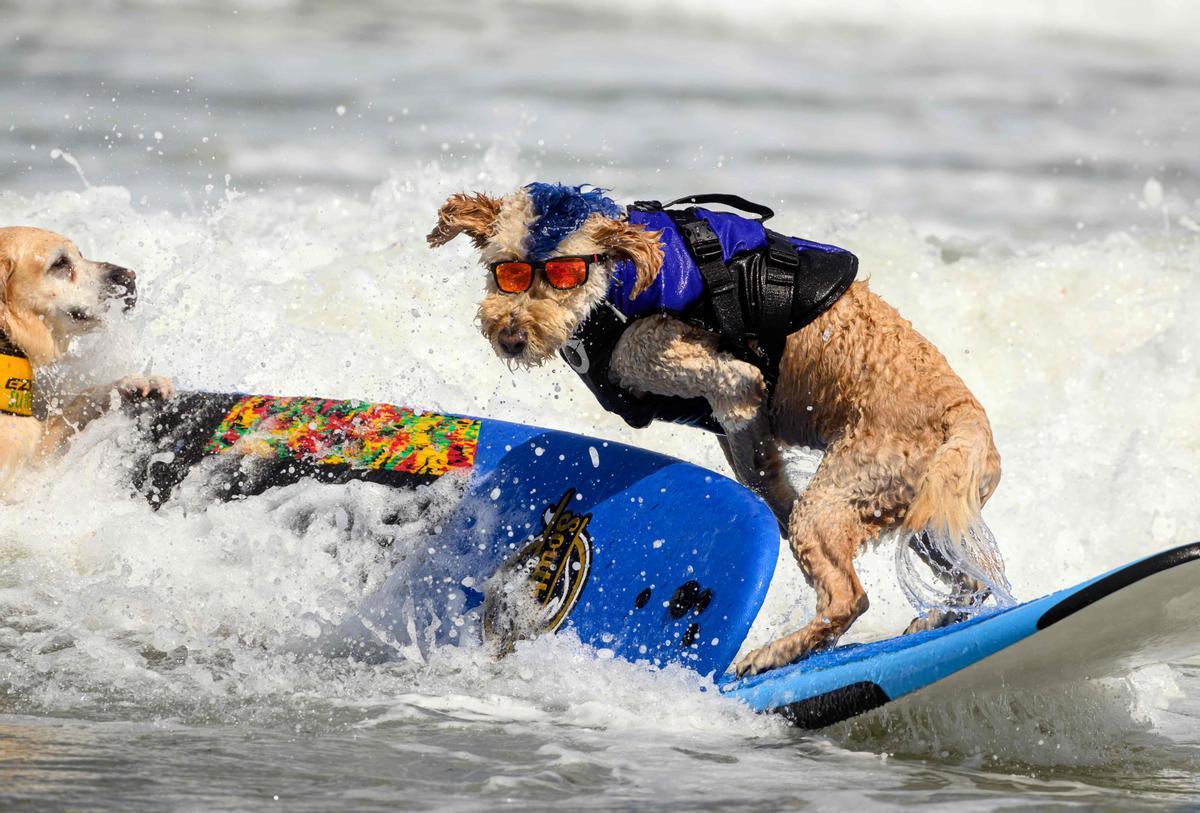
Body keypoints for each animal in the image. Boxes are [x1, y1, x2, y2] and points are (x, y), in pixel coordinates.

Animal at [427, 185, 1008, 681]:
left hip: (844, 495)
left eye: (564, 273)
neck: (620, 277)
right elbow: (762, 473)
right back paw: (935, 619)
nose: (510, 336)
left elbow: (702, 378)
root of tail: (964, 415)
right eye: (506, 271)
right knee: (971, 578)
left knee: (849, 598)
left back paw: (772, 654)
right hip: (926, 513)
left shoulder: (688, 357)